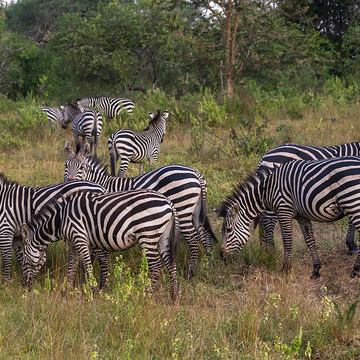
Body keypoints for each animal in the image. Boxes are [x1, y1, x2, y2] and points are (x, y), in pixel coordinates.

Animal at [21, 188, 179, 300]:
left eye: (24, 259)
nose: (25, 286)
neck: (60, 219)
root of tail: (168, 201)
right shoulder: (75, 243)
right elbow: (72, 266)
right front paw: (68, 290)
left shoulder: (80, 238)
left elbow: (87, 266)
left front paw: (91, 292)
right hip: (162, 237)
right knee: (170, 263)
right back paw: (173, 296)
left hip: (148, 235)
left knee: (155, 266)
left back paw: (147, 296)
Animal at [63, 139, 218, 278]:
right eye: (66, 165)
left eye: (82, 167)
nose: (70, 182)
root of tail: (196, 173)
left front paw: (85, 273)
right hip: (196, 210)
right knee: (204, 234)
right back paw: (209, 265)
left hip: (183, 209)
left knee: (193, 239)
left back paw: (190, 273)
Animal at [215, 157, 360, 278]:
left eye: (228, 230)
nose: (222, 258)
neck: (267, 191)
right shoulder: (302, 216)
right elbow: (310, 241)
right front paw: (316, 269)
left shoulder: (284, 211)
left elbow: (287, 241)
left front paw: (285, 269)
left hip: (352, 203)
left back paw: (355, 271)